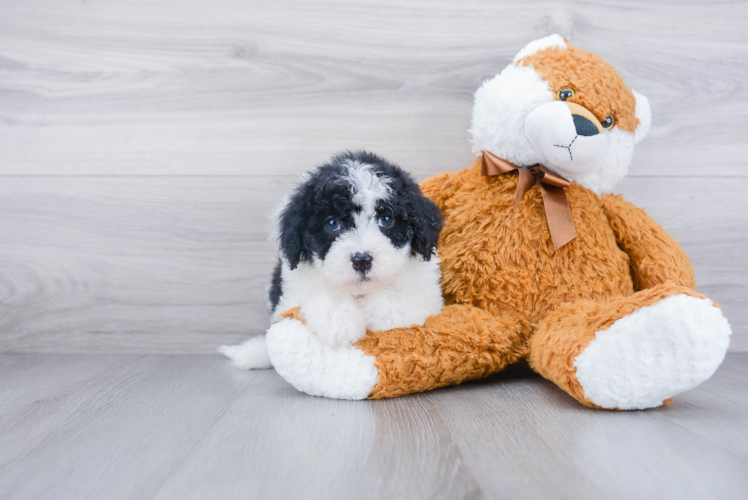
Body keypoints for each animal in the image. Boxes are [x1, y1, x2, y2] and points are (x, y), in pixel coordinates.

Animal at [222, 150, 444, 370]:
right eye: (332, 223)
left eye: (386, 219)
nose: (361, 260)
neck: (359, 292)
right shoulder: (290, 293)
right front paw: (338, 322)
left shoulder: (426, 294)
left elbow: (400, 301)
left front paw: (376, 312)